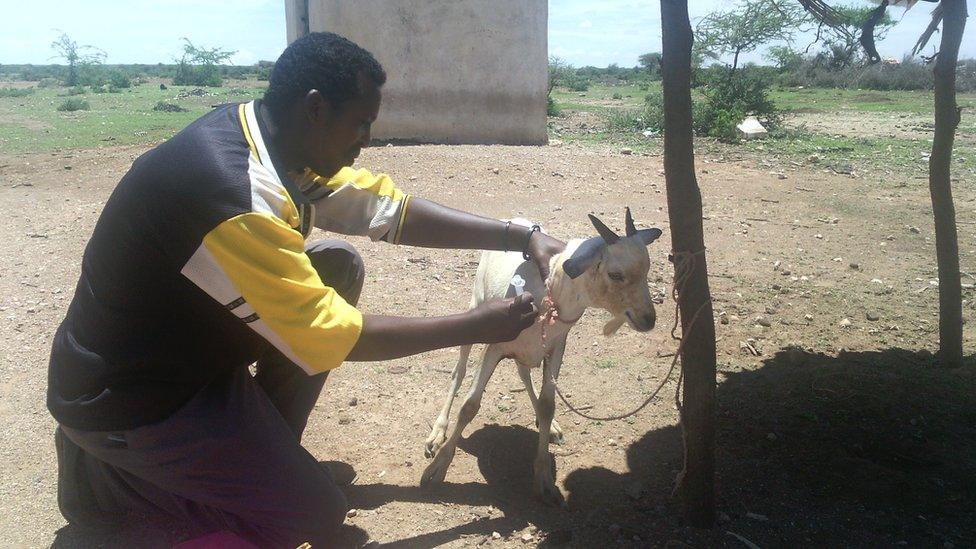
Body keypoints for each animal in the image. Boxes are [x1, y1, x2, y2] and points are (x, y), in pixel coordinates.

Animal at [422, 210, 664, 506]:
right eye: (615, 274)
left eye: (647, 269)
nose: (648, 319)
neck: (552, 291)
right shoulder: (494, 345)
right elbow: (469, 406)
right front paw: (437, 469)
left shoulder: (556, 347)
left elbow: (548, 405)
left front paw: (544, 480)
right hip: (475, 307)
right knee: (459, 372)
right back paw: (436, 434)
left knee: (523, 372)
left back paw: (550, 426)